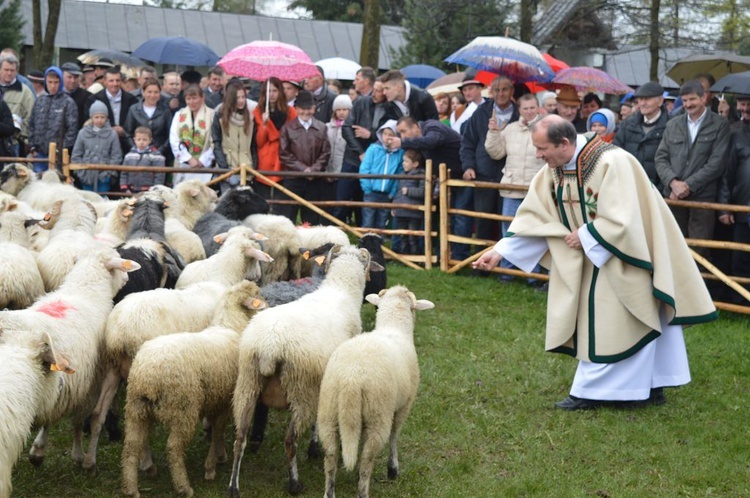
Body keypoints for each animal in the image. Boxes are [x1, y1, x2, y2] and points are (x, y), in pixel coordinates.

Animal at [0, 247, 140, 468]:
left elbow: (50, 417)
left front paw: (38, 450)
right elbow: (77, 420)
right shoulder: (88, 383)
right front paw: (78, 453)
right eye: (118, 263)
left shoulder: (63, 386)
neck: (84, 289)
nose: (127, 277)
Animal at [82, 282, 228, 472]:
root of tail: (120, 334)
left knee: (98, 413)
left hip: (112, 368)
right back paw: (147, 465)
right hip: (140, 376)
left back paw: (90, 462)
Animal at [120, 280, 268, 498]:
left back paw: (132, 489)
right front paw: (211, 466)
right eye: (257, 294)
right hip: (184, 409)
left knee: (131, 446)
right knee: (173, 448)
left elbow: (216, 430)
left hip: (136, 410)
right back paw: (184, 487)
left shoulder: (216, 399)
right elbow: (217, 430)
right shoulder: (225, 401)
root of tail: (148, 377)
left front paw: (218, 456)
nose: (267, 306)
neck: (229, 326)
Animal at [225, 244, 374, 494]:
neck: (340, 289)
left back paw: (233, 487)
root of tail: (270, 347)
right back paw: (294, 483)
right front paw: (315, 447)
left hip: (248, 384)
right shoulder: (320, 381)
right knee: (290, 440)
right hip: (300, 389)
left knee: (240, 437)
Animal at [318, 284, 434, 498]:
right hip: (378, 415)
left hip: (328, 412)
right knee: (367, 459)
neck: (393, 327)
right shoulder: (404, 405)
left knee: (330, 457)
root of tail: (351, 378)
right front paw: (393, 468)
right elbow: (395, 435)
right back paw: (363, 488)